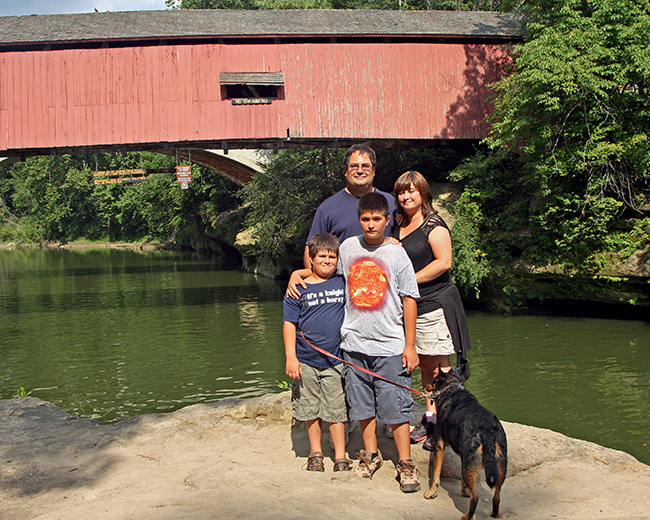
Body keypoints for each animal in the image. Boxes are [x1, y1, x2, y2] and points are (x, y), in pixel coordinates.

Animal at [420, 366, 506, 520]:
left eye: (434, 380)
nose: (426, 385)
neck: (453, 387)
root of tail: (488, 431)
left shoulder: (440, 445)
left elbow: (436, 474)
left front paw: (431, 493)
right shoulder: (462, 454)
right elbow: (462, 480)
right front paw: (464, 490)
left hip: (473, 464)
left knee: (476, 498)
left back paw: (466, 516)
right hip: (499, 468)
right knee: (496, 497)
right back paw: (495, 514)